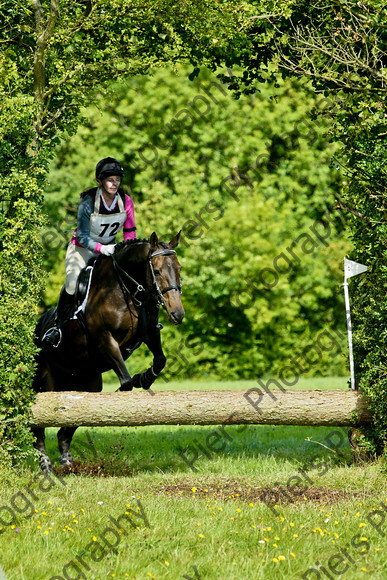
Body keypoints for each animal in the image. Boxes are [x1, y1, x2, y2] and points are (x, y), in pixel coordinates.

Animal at [32, 231, 184, 472]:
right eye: (157, 271)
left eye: (179, 268)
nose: (177, 314)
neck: (128, 291)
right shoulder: (105, 339)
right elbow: (126, 381)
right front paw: (128, 387)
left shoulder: (149, 331)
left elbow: (160, 360)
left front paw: (144, 378)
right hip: (46, 383)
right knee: (39, 426)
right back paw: (46, 464)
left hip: (88, 384)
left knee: (67, 426)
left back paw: (68, 463)